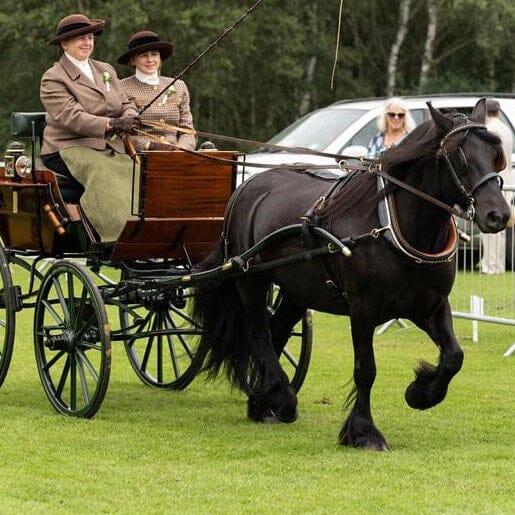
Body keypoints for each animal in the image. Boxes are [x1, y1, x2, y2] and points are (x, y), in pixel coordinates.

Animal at [191, 100, 510, 452]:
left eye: (496, 154)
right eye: (460, 156)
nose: (498, 215)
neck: (390, 225)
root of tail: (247, 186)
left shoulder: (432, 306)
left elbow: (454, 356)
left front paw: (420, 393)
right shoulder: (363, 311)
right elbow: (365, 370)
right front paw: (364, 432)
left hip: (297, 291)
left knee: (275, 332)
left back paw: (266, 401)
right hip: (251, 280)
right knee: (258, 332)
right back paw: (281, 396)